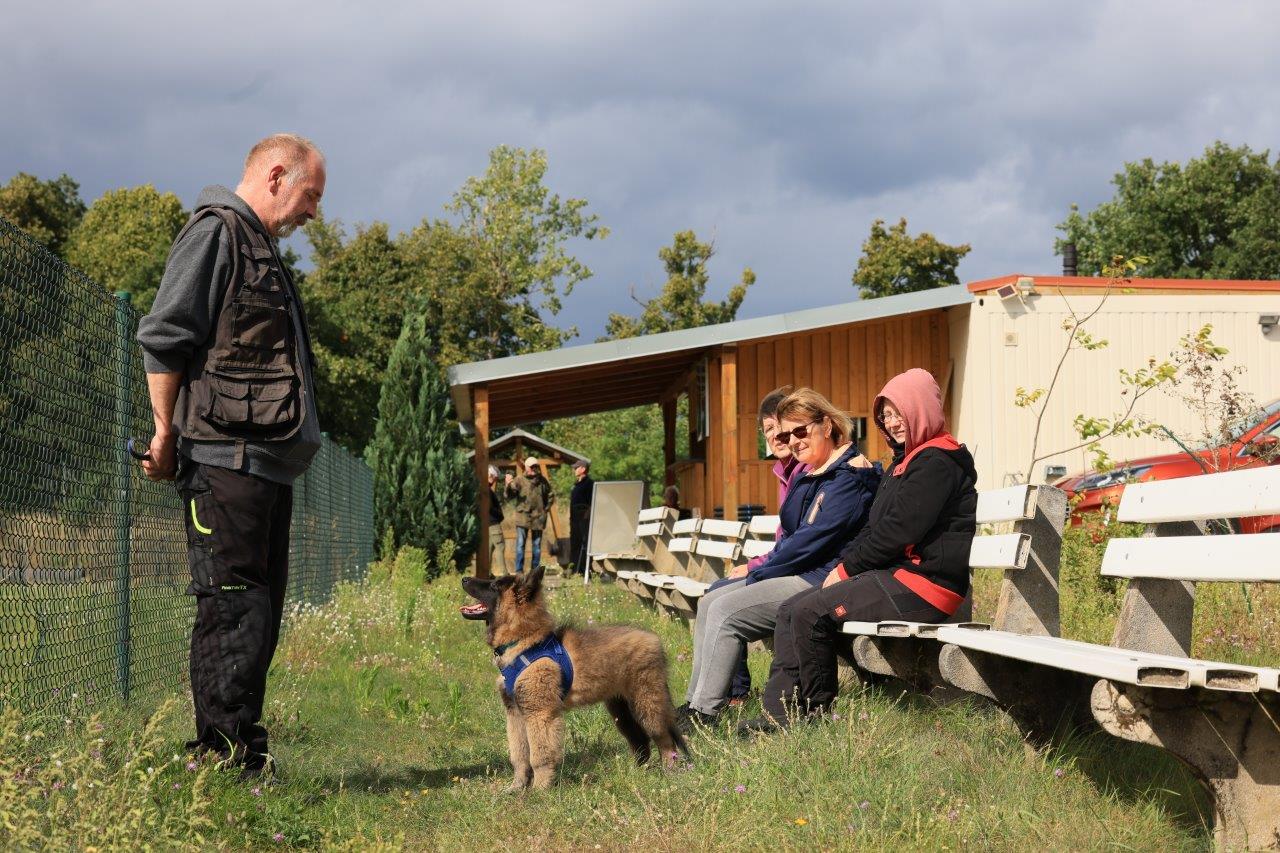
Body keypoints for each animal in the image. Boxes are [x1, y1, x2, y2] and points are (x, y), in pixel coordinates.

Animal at [461, 566, 688, 790]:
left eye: (494, 585)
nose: (464, 578)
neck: (525, 641)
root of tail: (655, 640)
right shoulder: (515, 713)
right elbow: (519, 755)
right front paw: (517, 787)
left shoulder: (540, 714)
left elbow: (539, 756)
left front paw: (540, 790)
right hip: (621, 709)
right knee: (639, 739)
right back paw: (635, 773)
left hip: (647, 703)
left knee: (664, 739)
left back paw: (669, 771)